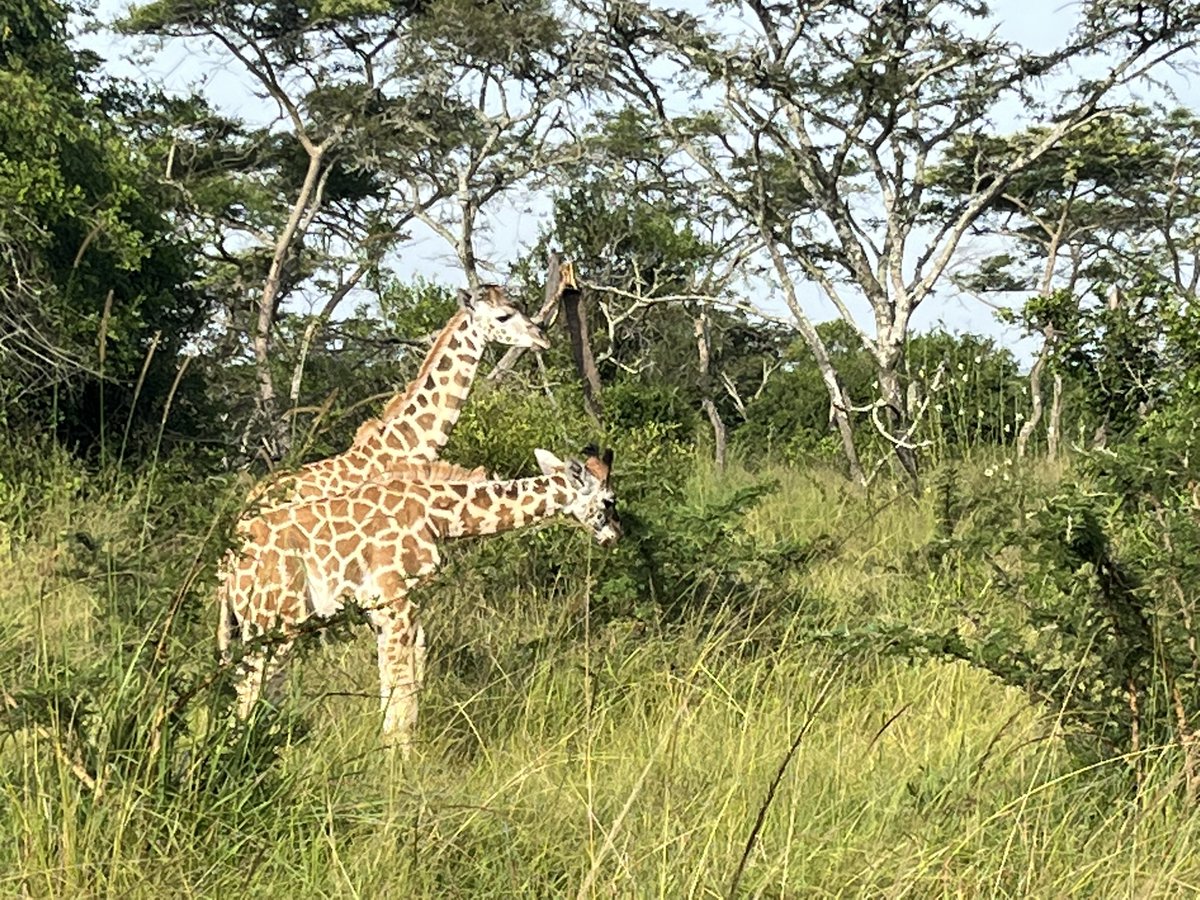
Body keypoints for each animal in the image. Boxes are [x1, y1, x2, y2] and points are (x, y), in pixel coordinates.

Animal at [218, 447, 620, 749]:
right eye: (609, 501)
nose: (616, 535)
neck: (438, 515)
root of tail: (228, 566)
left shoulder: (383, 612)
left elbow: (402, 684)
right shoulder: (395, 602)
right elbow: (402, 691)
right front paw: (399, 766)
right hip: (274, 622)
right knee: (251, 694)